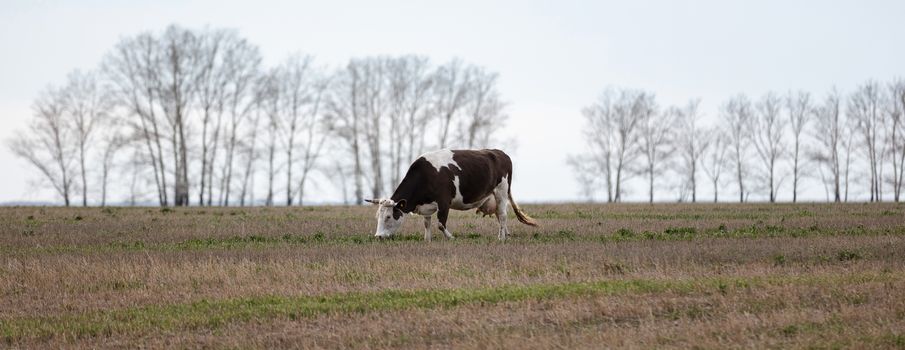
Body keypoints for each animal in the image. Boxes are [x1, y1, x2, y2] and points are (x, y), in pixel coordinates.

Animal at [366, 148, 536, 241]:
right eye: (378, 216)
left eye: (389, 216)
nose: (378, 236)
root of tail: (500, 153)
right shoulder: (426, 205)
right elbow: (427, 223)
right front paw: (427, 239)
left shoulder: (444, 201)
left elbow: (441, 224)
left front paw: (451, 237)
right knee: (500, 216)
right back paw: (506, 234)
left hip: (501, 190)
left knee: (502, 215)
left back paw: (500, 238)